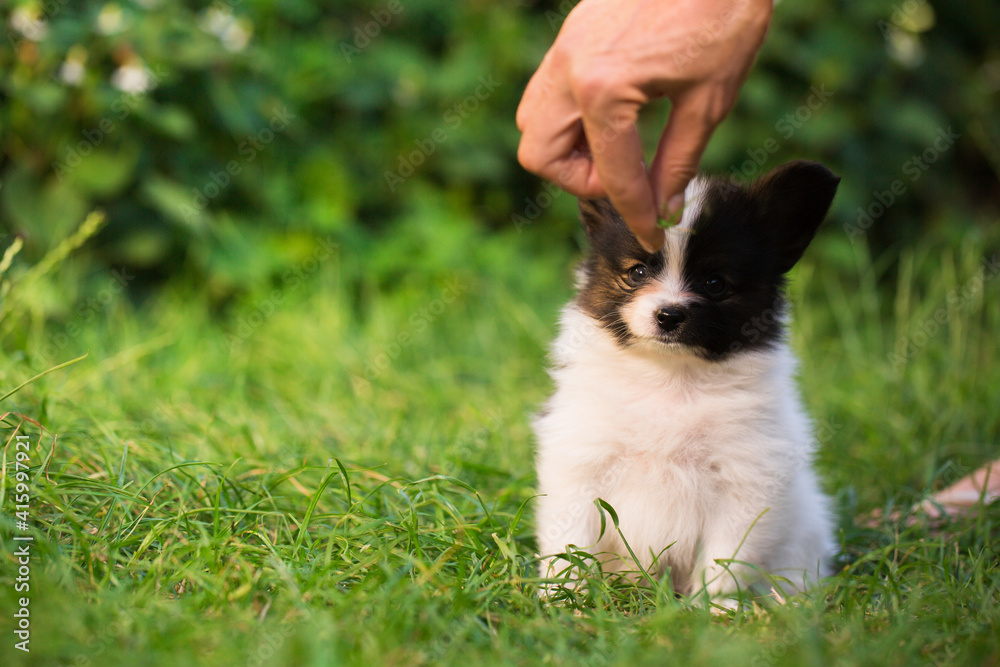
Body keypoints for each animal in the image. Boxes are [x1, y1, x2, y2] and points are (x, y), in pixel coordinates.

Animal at [536, 160, 840, 600]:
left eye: (715, 283)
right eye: (637, 272)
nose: (669, 315)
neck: (671, 376)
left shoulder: (746, 479)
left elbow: (725, 560)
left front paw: (716, 609)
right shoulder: (581, 459)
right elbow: (570, 541)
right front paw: (563, 598)